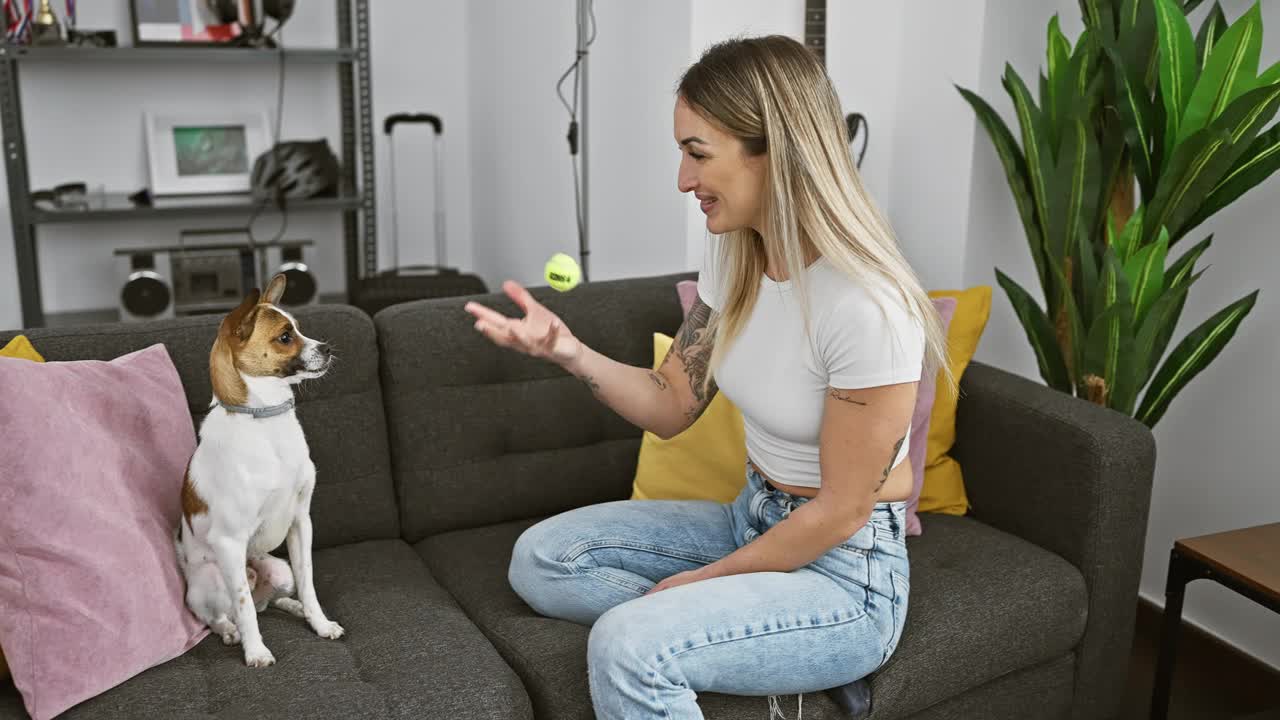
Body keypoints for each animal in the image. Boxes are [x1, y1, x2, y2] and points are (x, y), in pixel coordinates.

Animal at [177, 271, 345, 666]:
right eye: (285, 336)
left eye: (300, 329)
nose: (328, 348)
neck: (266, 419)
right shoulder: (229, 543)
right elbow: (243, 608)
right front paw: (255, 651)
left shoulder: (301, 522)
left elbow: (308, 581)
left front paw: (318, 622)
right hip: (210, 579)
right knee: (224, 613)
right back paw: (231, 632)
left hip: (278, 568)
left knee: (270, 601)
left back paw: (293, 607)